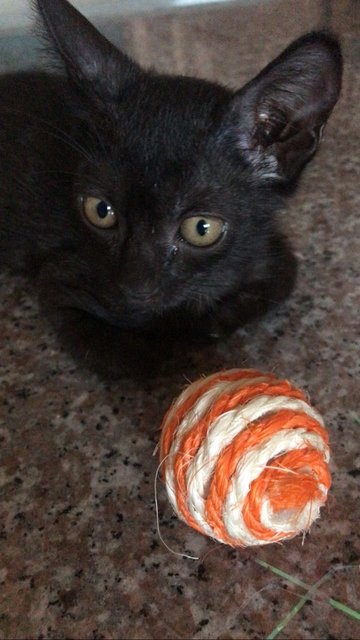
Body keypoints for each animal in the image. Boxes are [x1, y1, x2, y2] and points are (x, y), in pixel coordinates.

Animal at [0, 0, 344, 378]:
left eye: (201, 229)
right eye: (100, 210)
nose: (135, 287)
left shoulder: (263, 242)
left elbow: (283, 275)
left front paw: (208, 321)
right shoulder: (60, 276)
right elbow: (131, 358)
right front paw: (173, 346)